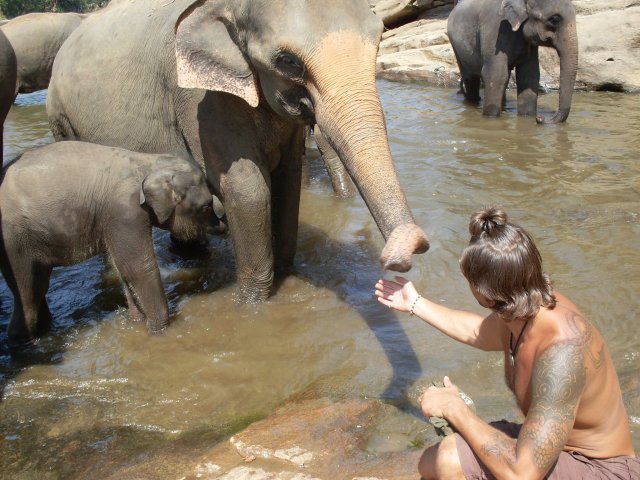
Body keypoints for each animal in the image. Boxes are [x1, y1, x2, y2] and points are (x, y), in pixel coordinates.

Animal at [0, 141, 215, 346]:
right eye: (206, 206)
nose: (219, 224)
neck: (147, 162)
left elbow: (123, 268)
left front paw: (137, 322)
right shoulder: (125, 213)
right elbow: (137, 268)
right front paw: (159, 331)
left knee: (39, 288)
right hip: (13, 241)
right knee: (29, 295)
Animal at [46, 0, 430, 302]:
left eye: (379, 38)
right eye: (288, 61)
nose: (411, 246)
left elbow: (288, 180)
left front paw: (285, 273)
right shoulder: (198, 99)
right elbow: (248, 192)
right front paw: (252, 304)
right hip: (61, 120)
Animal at [444, 0, 580, 124]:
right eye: (554, 19)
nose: (540, 118)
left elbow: (529, 75)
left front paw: (527, 118)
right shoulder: (495, 31)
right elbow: (495, 74)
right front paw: (490, 119)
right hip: (456, 46)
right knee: (471, 77)